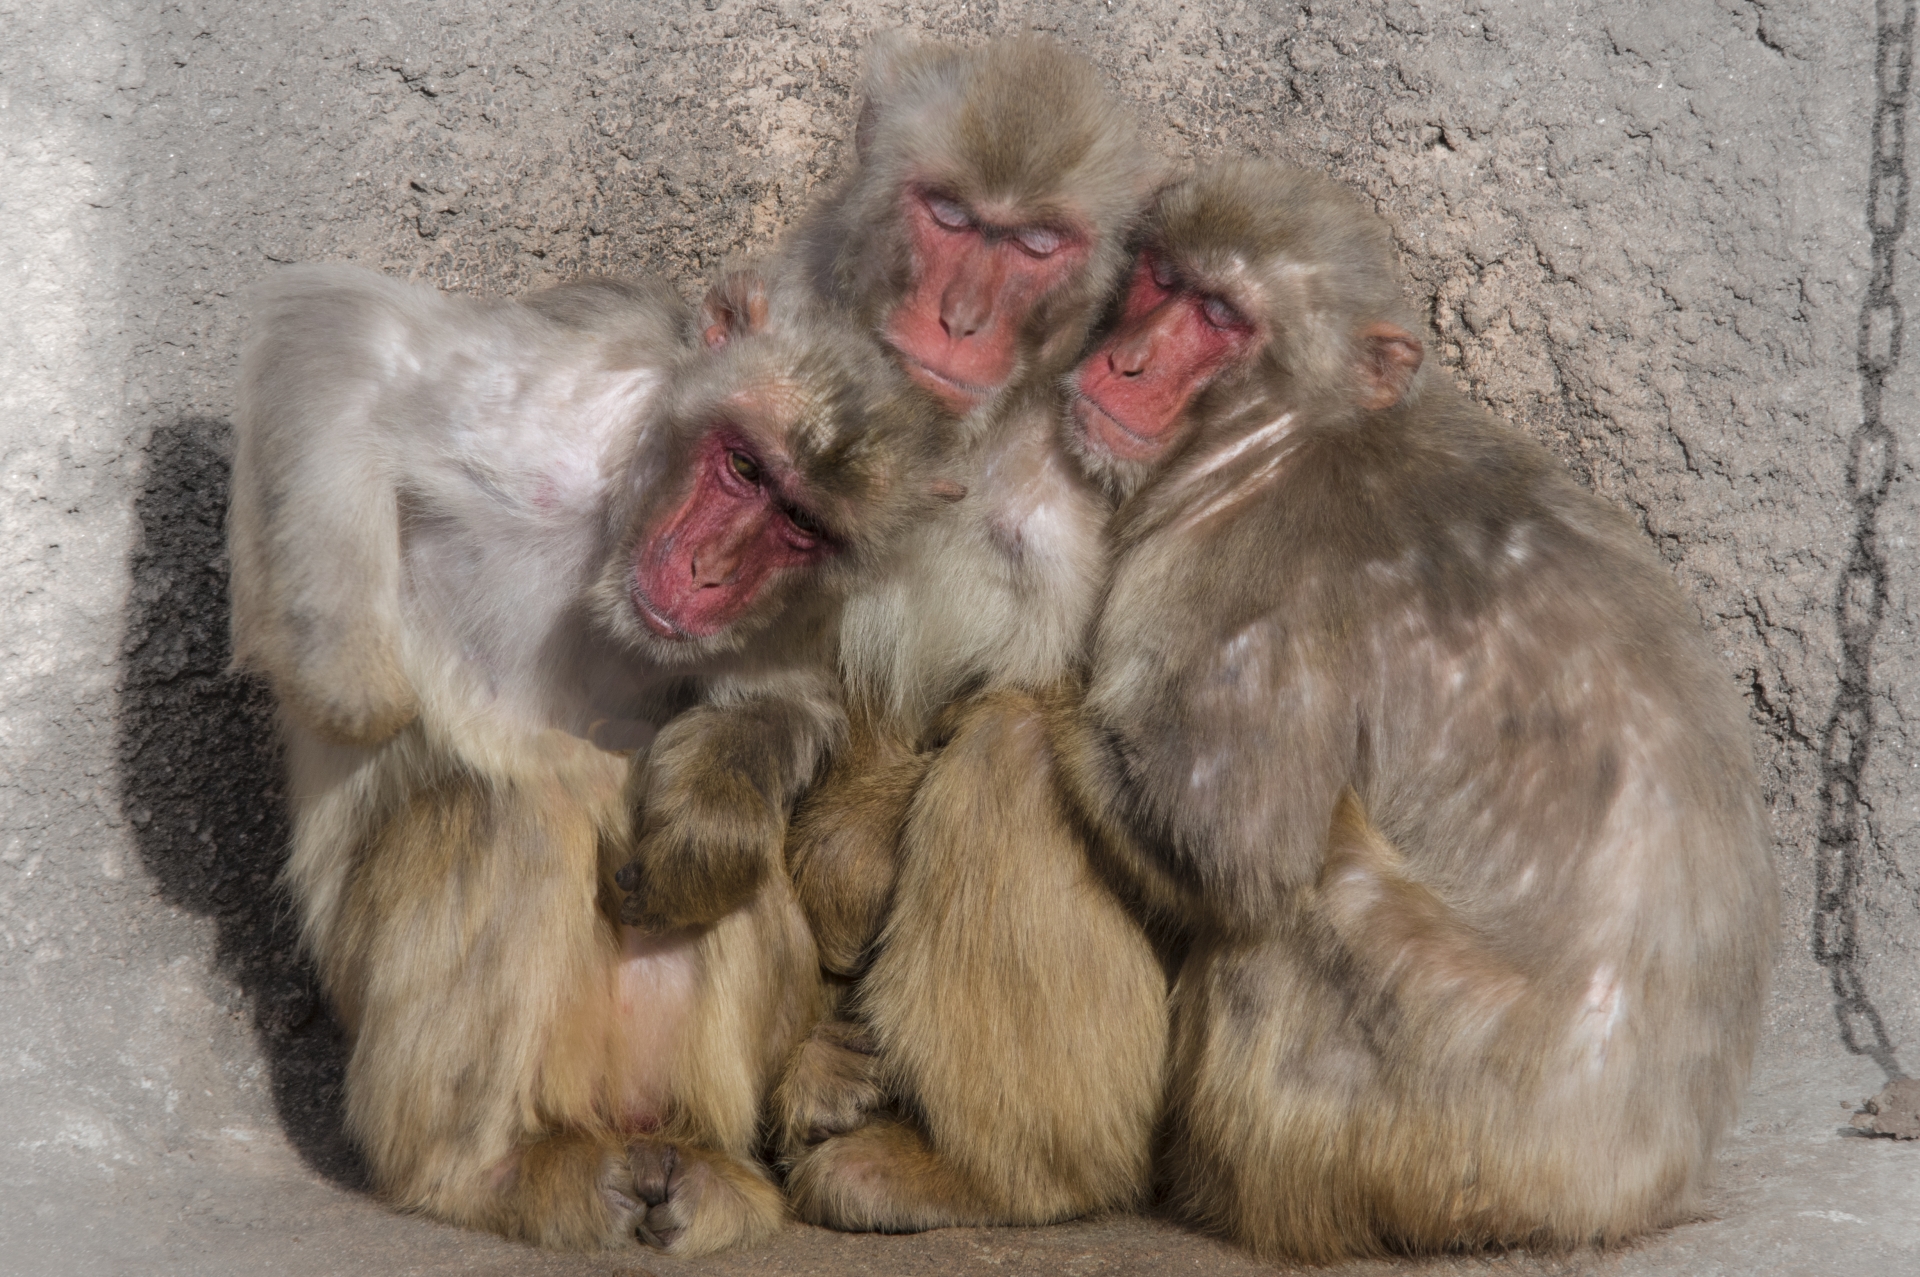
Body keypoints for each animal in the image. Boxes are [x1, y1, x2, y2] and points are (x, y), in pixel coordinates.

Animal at [228, 263, 948, 1252]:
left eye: (800, 522)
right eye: (744, 467)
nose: (714, 569)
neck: (619, 521)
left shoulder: (799, 599)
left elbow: (777, 702)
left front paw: (705, 824)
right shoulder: (566, 388)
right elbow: (343, 338)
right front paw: (357, 678)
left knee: (732, 879)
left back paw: (709, 1162)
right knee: (510, 815)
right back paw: (477, 1175)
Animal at [1052, 162, 1781, 1267]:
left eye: (1221, 315)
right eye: (1162, 277)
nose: (1123, 359)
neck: (1295, 435)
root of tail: (1627, 1186)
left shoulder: (1233, 580)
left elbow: (1228, 845)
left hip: (1444, 1131)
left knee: (1309, 891)